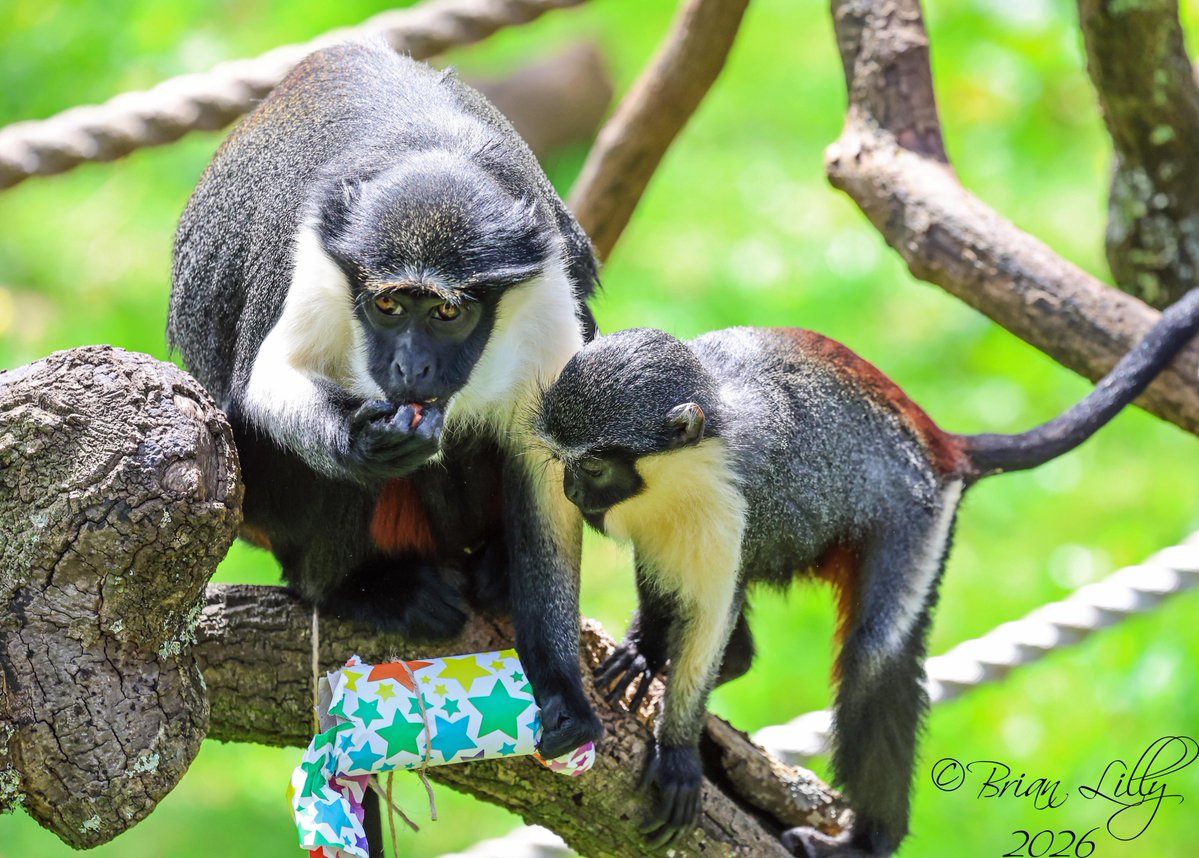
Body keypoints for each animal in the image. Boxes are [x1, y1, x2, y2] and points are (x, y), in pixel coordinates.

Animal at [168, 41, 604, 855]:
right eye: (391, 305)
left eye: (447, 314)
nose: (410, 369)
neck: (429, 154)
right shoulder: (319, 259)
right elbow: (262, 384)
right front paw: (359, 439)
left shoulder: (544, 284)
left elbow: (544, 470)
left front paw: (561, 686)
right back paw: (355, 586)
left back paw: (494, 567)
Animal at [534, 288, 1199, 856]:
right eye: (565, 463)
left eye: (592, 466)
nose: (570, 491)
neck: (692, 446)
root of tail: (943, 444)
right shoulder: (655, 521)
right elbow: (667, 582)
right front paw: (645, 651)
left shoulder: (727, 498)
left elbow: (710, 614)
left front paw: (678, 751)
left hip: (916, 518)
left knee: (874, 657)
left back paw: (869, 840)